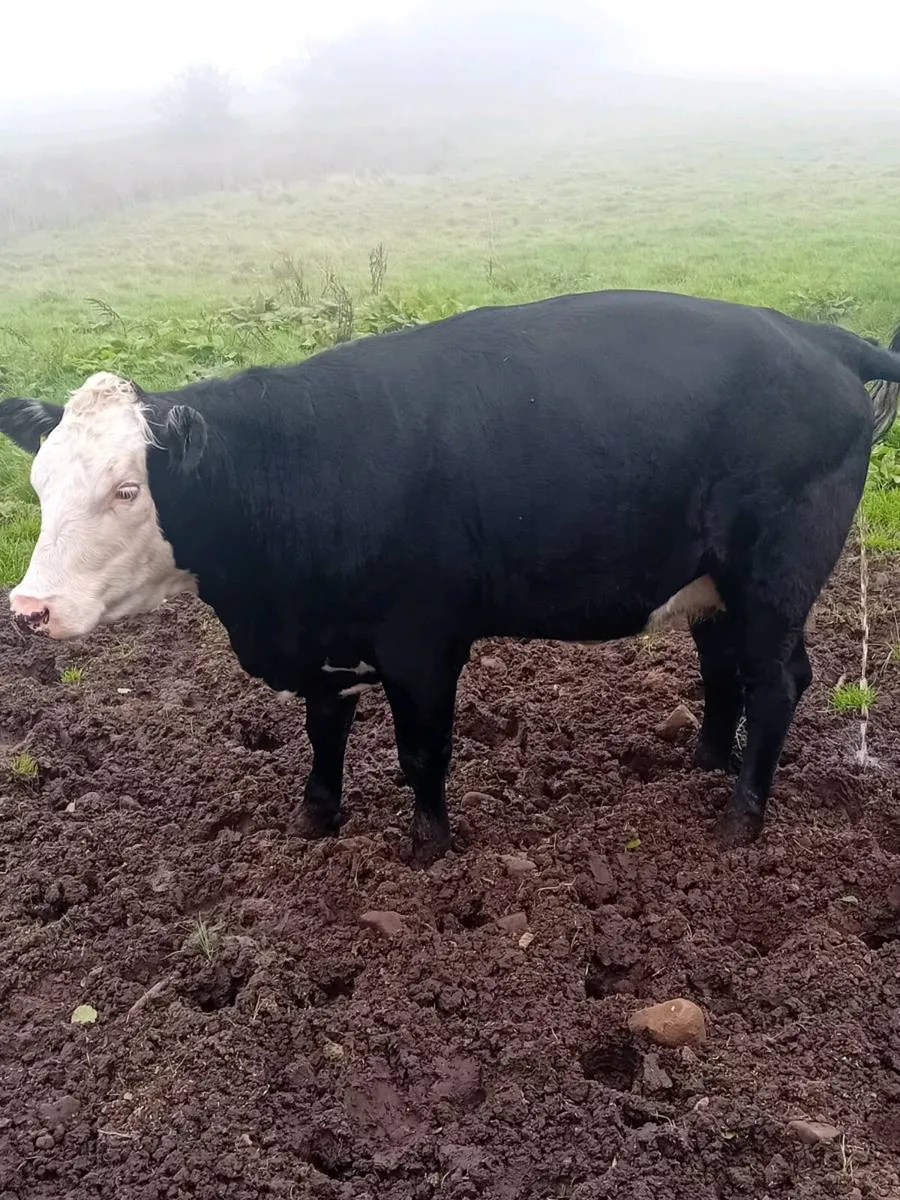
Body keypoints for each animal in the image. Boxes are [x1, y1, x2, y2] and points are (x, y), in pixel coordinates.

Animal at [1, 289, 898, 864]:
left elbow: (422, 751)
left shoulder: (421, 644)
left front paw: (427, 848)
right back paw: (704, 761)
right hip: (714, 580)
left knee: (776, 680)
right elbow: (324, 730)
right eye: (39, 483)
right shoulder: (327, 641)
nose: (30, 608)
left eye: (127, 490)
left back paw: (741, 819)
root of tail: (813, 335)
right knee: (725, 670)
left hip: (775, 577)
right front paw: (315, 819)